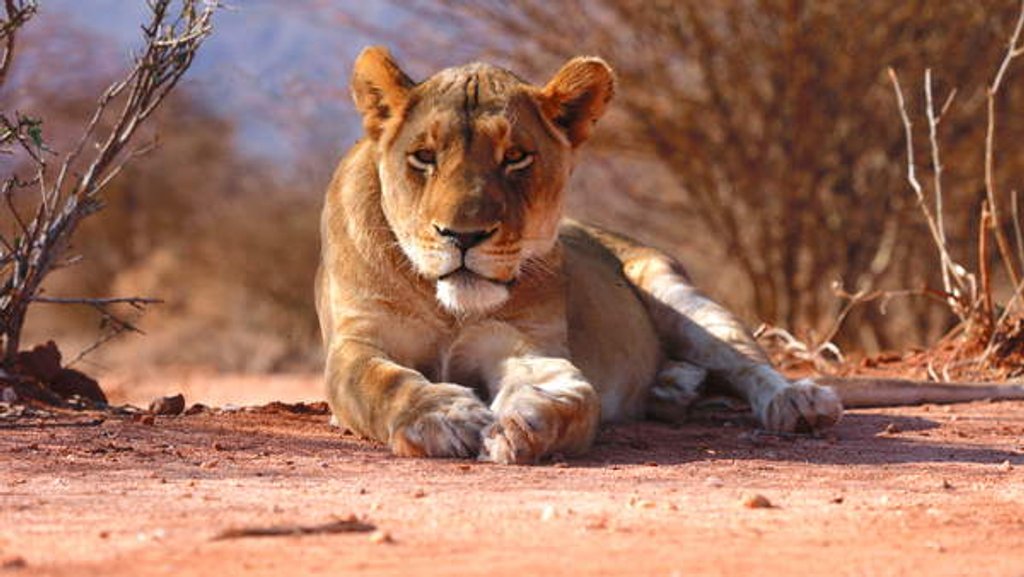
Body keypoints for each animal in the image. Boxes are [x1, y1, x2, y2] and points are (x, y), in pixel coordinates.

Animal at [316, 47, 1024, 464]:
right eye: (423, 157)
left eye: (515, 157)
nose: (462, 236)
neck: (449, 307)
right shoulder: (356, 343)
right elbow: (383, 382)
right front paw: (444, 415)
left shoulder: (529, 343)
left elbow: (569, 392)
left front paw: (525, 422)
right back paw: (672, 389)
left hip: (675, 291)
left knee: (747, 364)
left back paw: (795, 402)